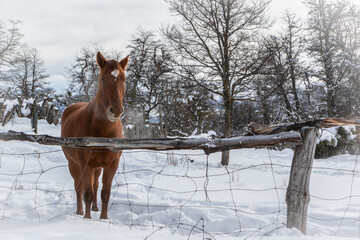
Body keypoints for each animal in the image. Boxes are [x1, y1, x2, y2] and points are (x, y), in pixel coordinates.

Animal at [61, 52, 129, 219]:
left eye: (124, 79)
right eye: (103, 79)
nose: (116, 111)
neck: (104, 133)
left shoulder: (112, 165)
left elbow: (105, 193)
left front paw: (104, 218)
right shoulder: (86, 165)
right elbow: (87, 193)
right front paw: (87, 218)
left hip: (97, 167)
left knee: (96, 185)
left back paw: (95, 208)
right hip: (74, 164)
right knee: (78, 186)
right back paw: (79, 211)